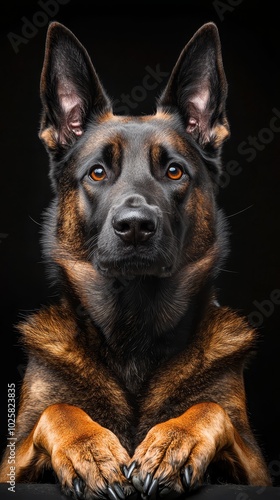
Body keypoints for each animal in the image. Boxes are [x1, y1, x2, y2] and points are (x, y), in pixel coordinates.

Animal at [0, 20, 272, 500]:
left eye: (174, 171)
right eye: (97, 172)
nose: (135, 226)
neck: (133, 332)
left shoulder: (256, 469)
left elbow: (210, 407)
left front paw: (172, 444)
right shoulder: (13, 458)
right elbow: (58, 408)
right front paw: (91, 451)